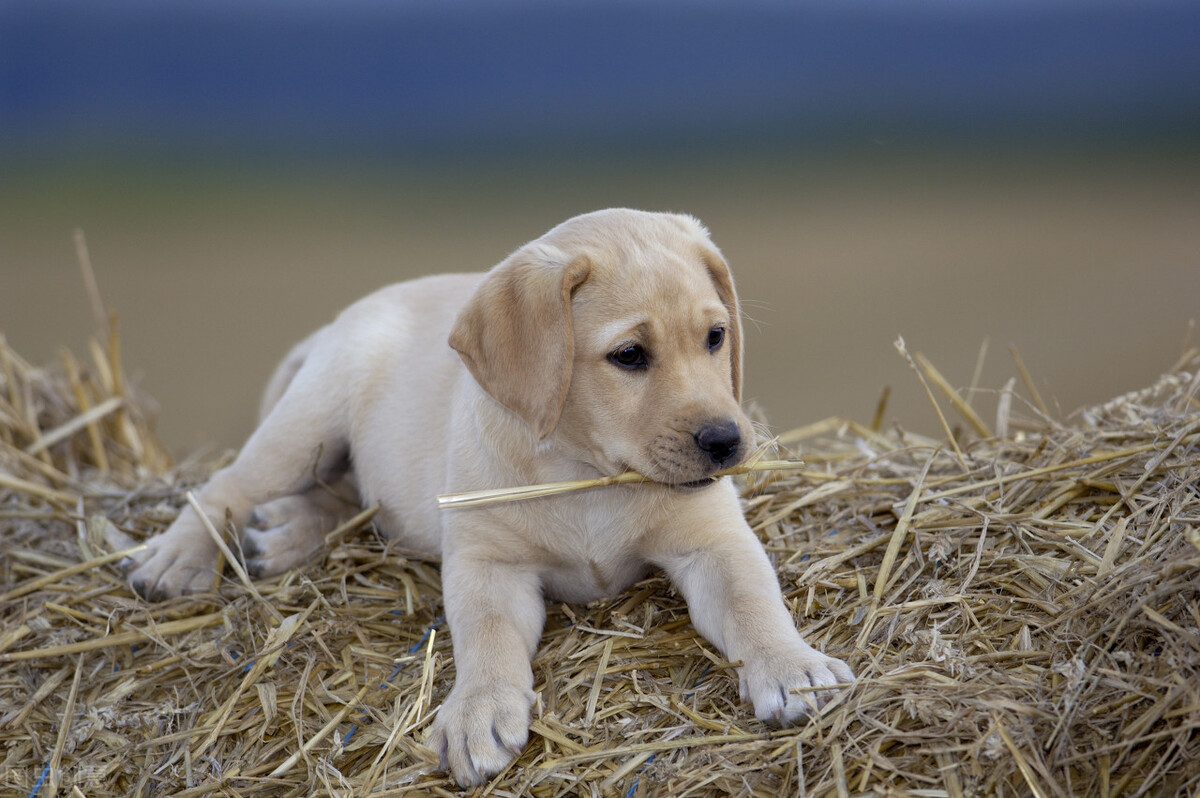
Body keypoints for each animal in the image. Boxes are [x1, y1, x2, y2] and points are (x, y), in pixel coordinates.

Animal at [119, 208, 854, 787]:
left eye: (715, 338)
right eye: (629, 355)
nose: (727, 441)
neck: (582, 470)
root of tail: (344, 318)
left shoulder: (715, 540)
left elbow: (752, 601)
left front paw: (792, 667)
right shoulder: (488, 566)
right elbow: (489, 637)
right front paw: (477, 712)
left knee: (349, 500)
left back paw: (284, 534)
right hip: (306, 425)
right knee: (228, 485)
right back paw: (179, 559)